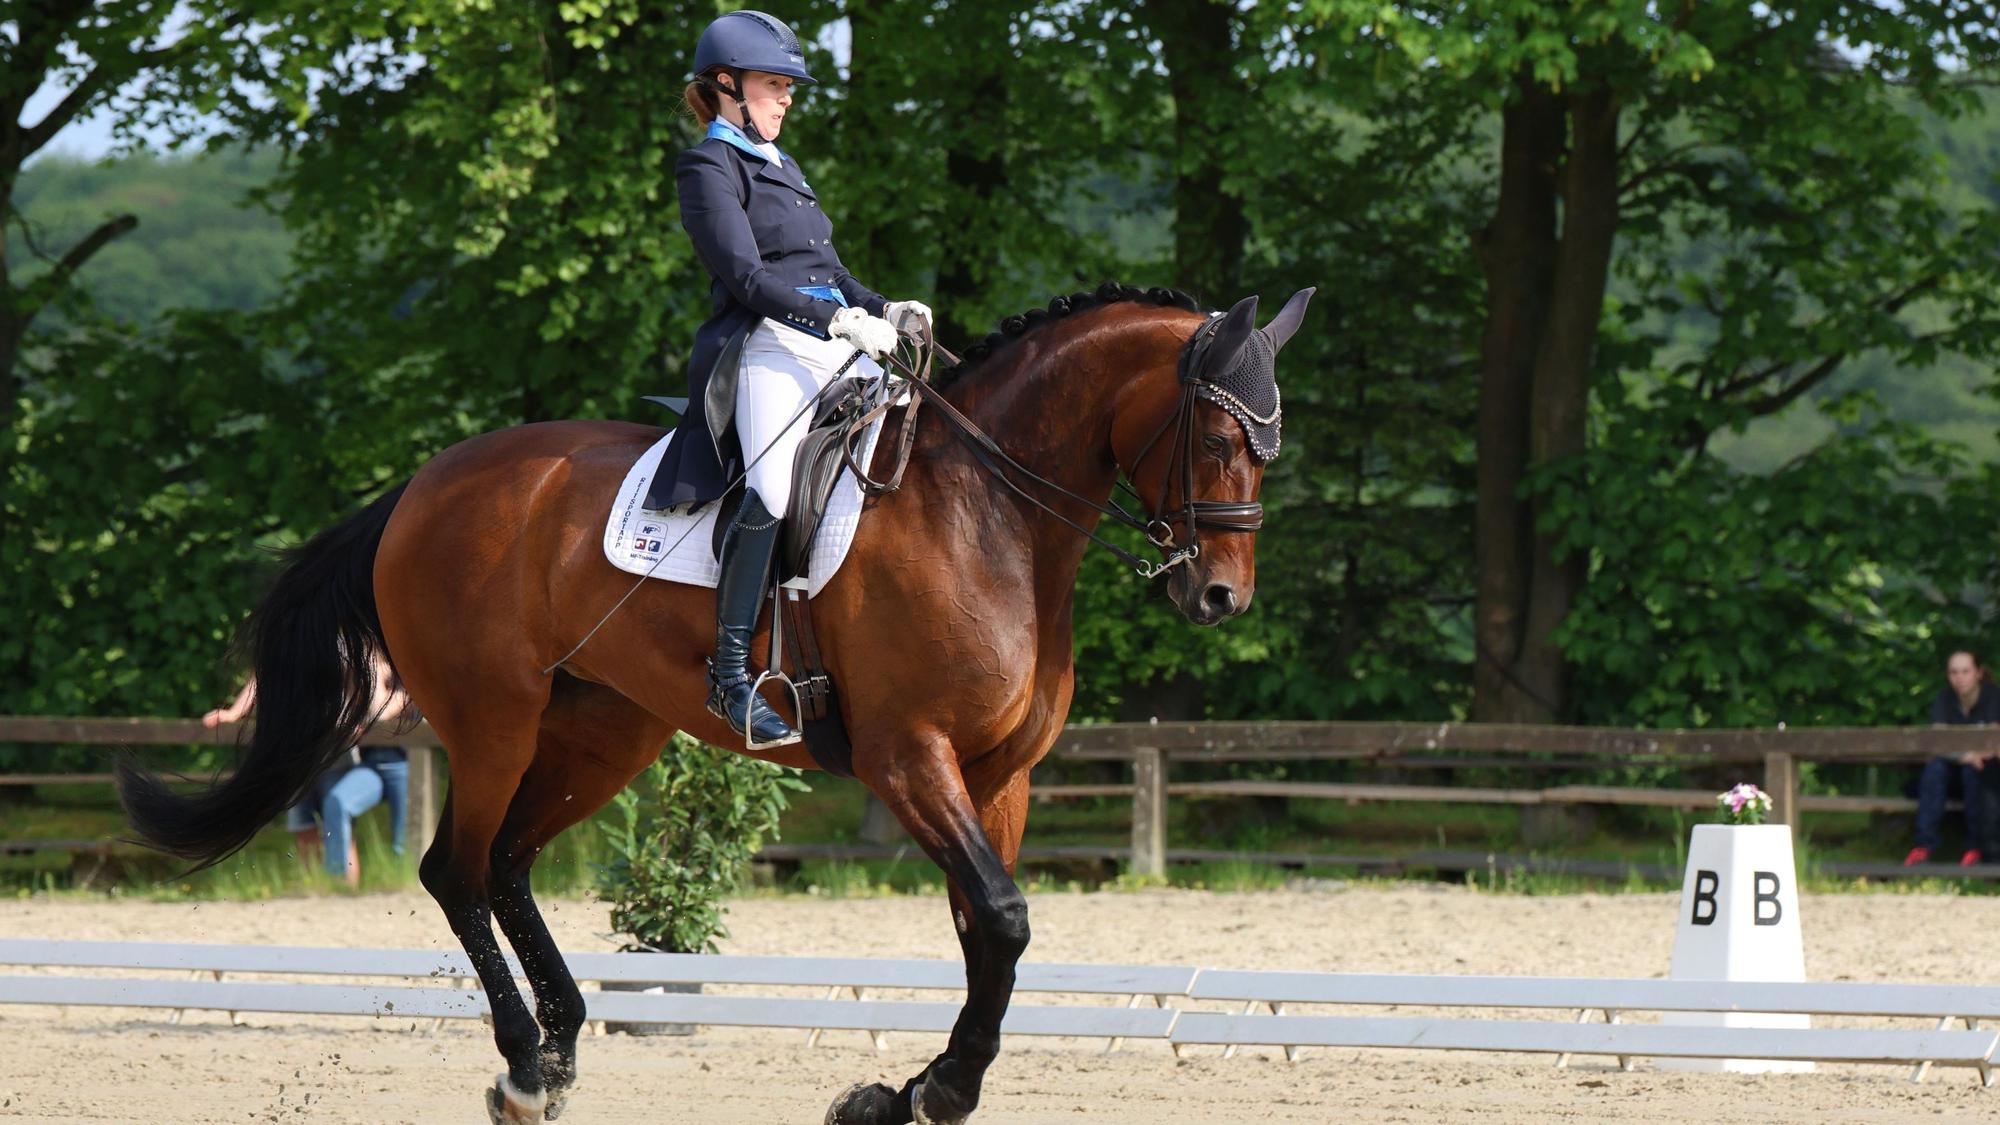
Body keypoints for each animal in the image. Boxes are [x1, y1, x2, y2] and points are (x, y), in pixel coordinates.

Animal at [117, 281, 1313, 1125]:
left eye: (1270, 443)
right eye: (1218, 437)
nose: (1219, 596)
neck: (989, 514)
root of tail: (422, 485)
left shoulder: (996, 775)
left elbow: (988, 930)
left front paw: (901, 1094)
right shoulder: (907, 757)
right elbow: (1005, 919)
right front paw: (932, 1093)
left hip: (603, 732)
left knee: (507, 863)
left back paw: (563, 1043)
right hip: (494, 721)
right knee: (456, 869)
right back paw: (523, 1068)